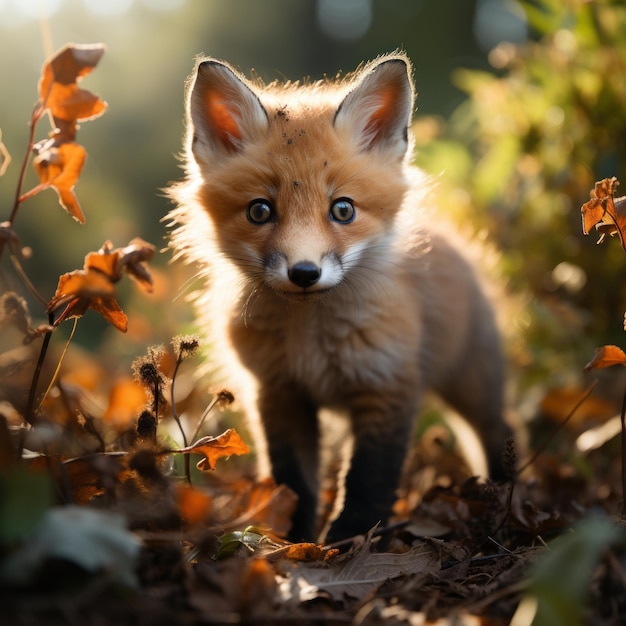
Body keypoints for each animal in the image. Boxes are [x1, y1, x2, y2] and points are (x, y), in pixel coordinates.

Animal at [167, 52, 512, 540]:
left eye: (343, 209)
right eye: (260, 211)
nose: (304, 273)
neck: (310, 338)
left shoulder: (386, 384)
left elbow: (369, 478)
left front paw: (350, 537)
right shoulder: (278, 393)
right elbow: (293, 481)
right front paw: (292, 540)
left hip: (472, 383)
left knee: (499, 430)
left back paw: (506, 495)